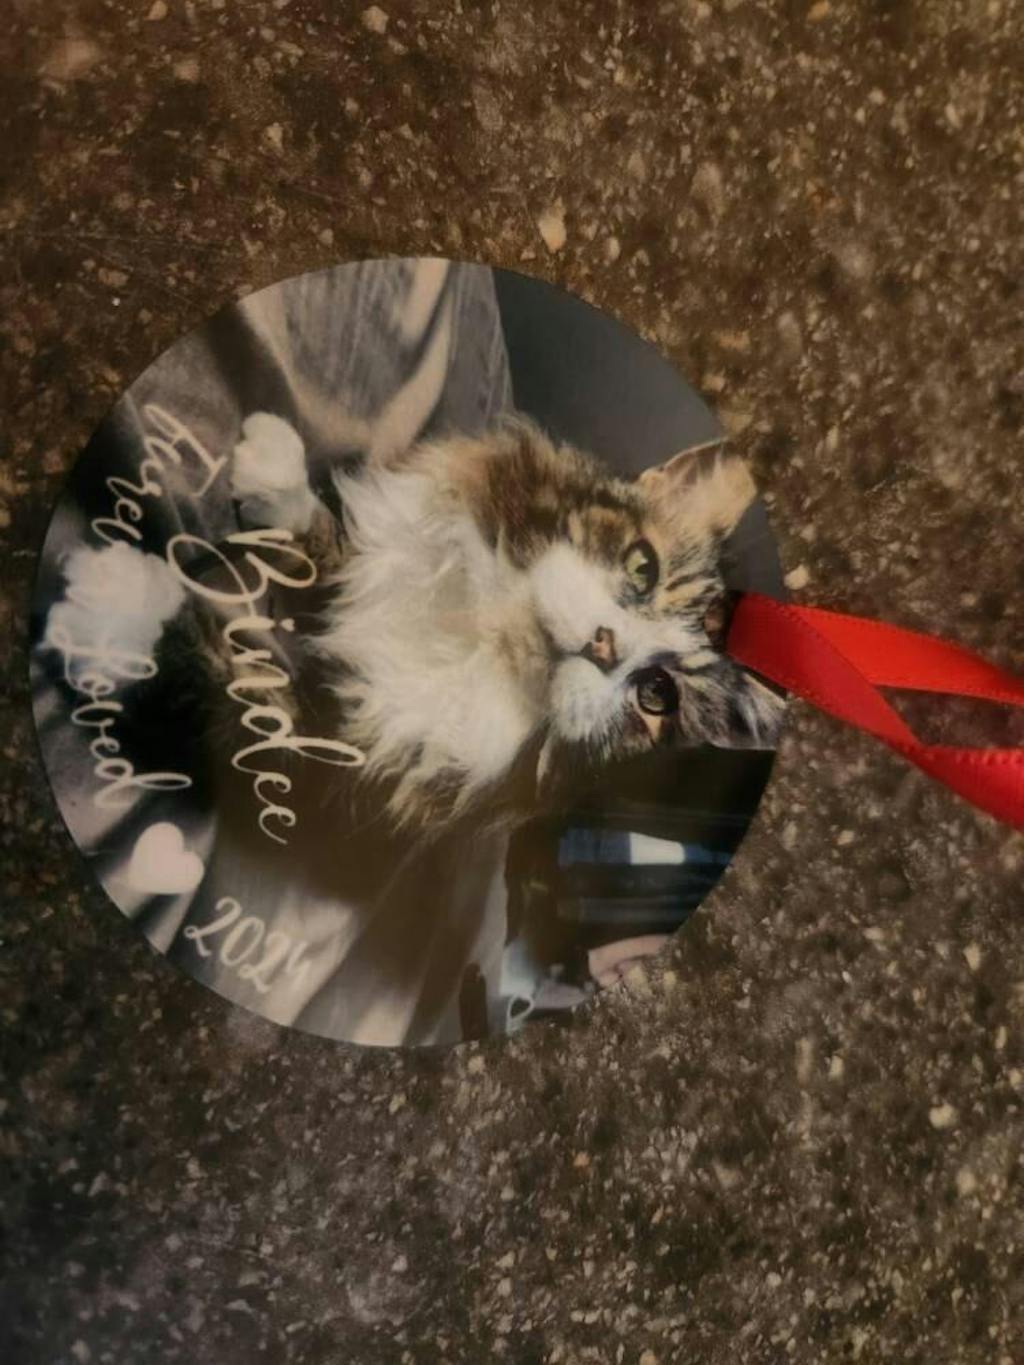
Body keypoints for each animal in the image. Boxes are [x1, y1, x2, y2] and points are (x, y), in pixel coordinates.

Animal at [46, 412, 784, 842]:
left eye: (656, 695)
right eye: (641, 565)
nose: (605, 647)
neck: (478, 632)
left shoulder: (323, 756)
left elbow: (209, 685)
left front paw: (110, 611)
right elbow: (318, 545)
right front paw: (271, 464)